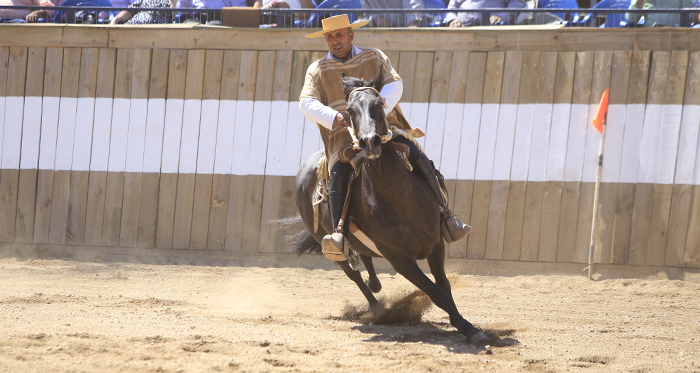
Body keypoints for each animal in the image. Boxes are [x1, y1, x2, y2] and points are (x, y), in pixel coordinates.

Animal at [290, 68, 486, 342]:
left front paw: (464, 324)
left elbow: (443, 285)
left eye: (380, 104)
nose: (369, 142)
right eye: (348, 111)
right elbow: (434, 291)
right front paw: (466, 327)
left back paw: (376, 287)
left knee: (365, 258)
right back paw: (377, 308)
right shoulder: (399, 259)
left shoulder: (436, 245)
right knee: (352, 272)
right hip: (328, 244)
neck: (400, 199)